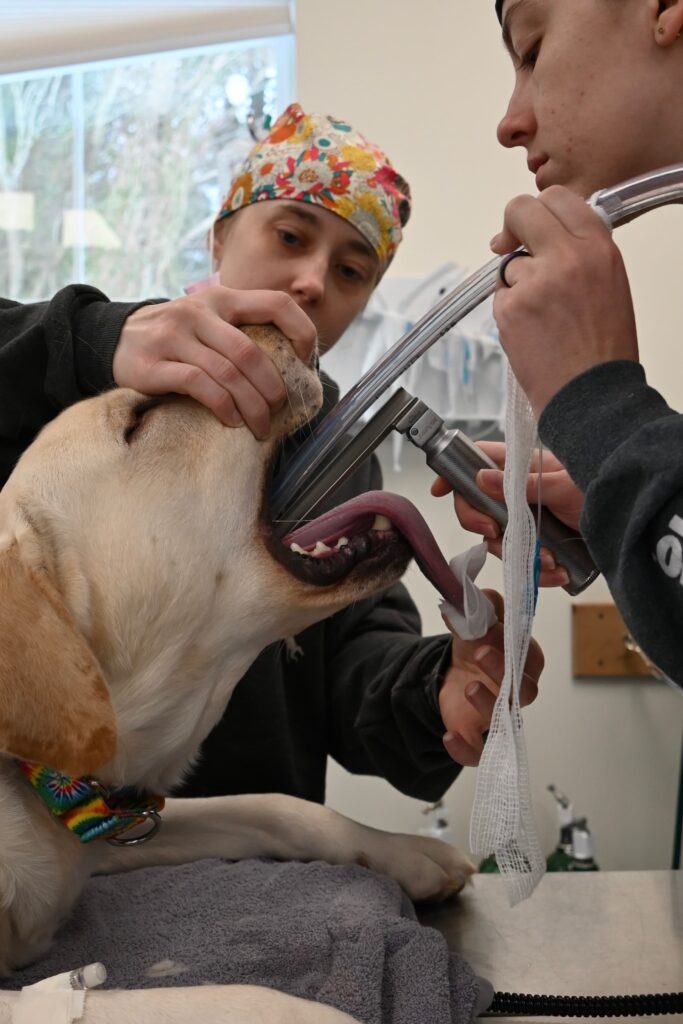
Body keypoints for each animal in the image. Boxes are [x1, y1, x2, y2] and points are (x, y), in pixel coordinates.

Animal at [0, 327, 473, 1024]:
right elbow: (228, 998)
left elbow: (278, 806)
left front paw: (409, 853)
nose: (281, 325)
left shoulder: (115, 834)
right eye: (141, 418)